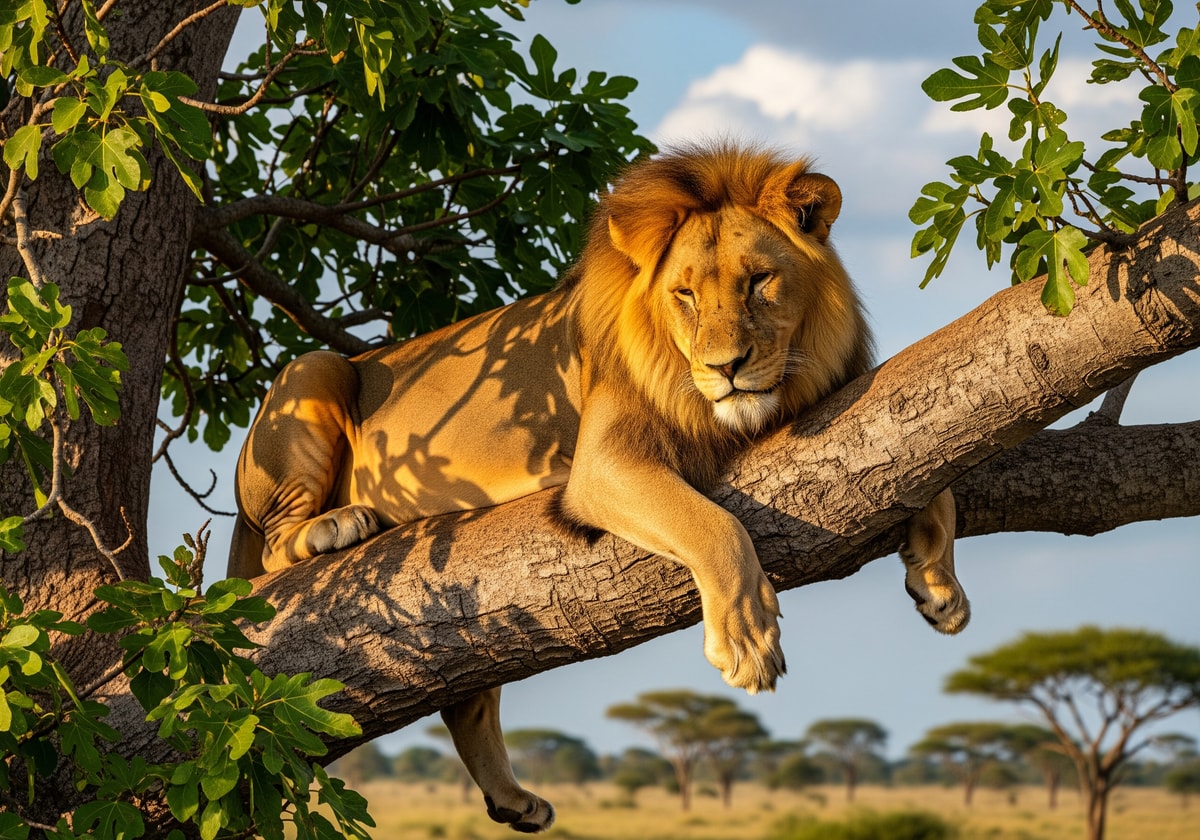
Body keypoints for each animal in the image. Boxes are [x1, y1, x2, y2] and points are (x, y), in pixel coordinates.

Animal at [229, 144, 970, 833]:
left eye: (760, 281)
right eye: (685, 295)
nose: (726, 367)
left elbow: (938, 478)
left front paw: (939, 585)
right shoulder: (604, 463)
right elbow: (715, 526)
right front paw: (747, 641)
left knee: (468, 694)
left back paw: (514, 801)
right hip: (315, 370)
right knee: (273, 549)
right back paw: (338, 525)